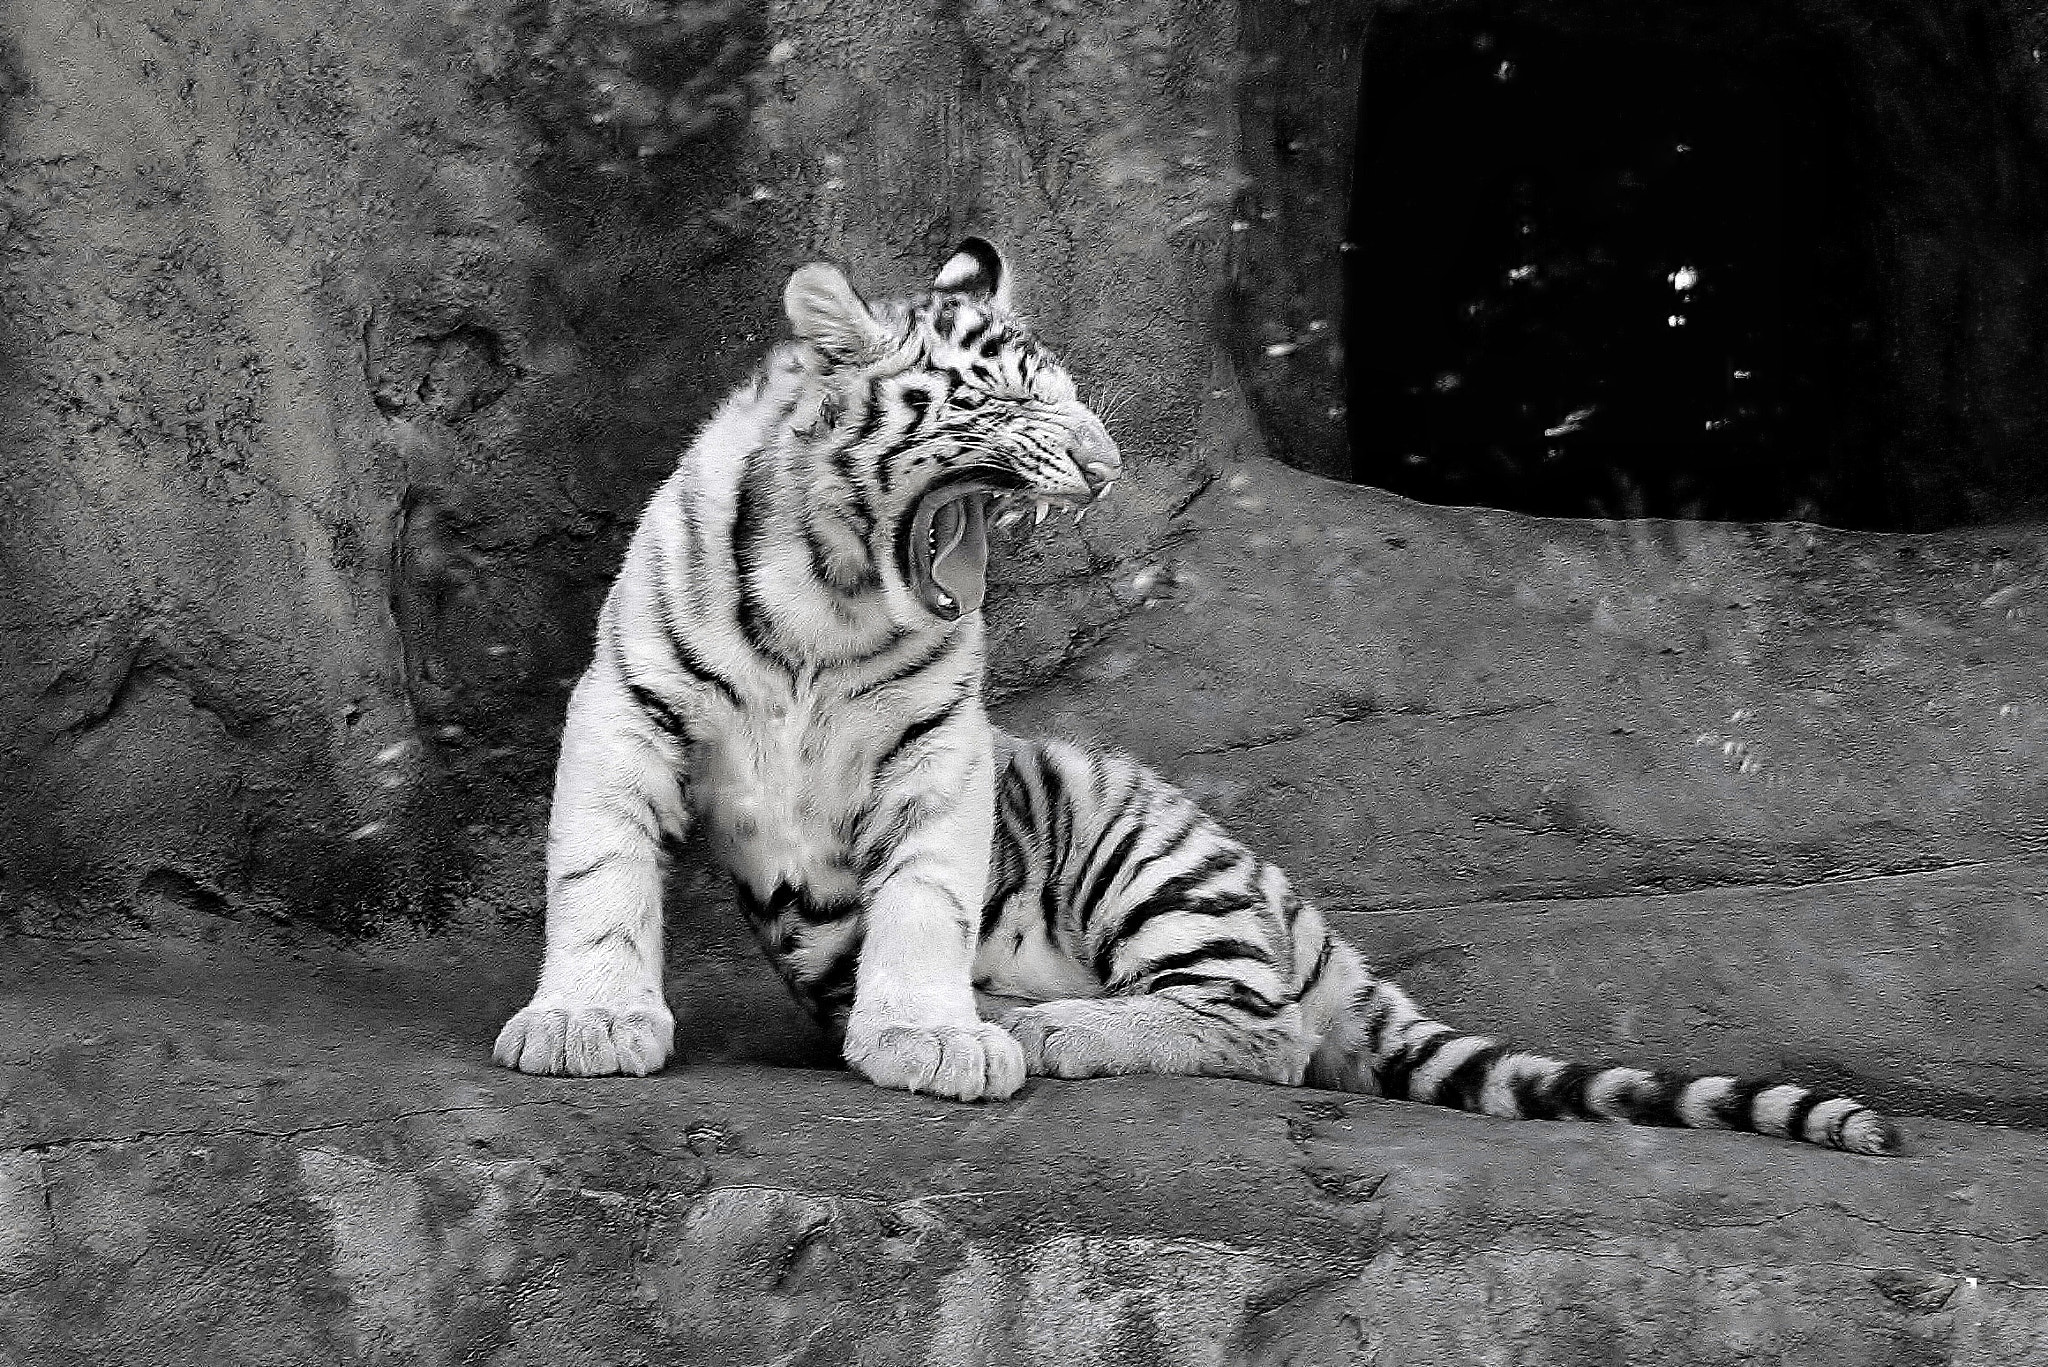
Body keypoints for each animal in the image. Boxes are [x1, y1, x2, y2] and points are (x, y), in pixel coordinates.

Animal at [492, 238, 1900, 1156]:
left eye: (1069, 395)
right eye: (1007, 395)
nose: (1108, 460)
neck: (831, 592)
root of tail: (1297, 900)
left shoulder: (942, 749)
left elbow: (924, 899)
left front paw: (931, 1038)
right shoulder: (624, 702)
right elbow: (600, 875)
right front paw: (587, 1020)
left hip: (1142, 856)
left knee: (1263, 1029)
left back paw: (1049, 1025)